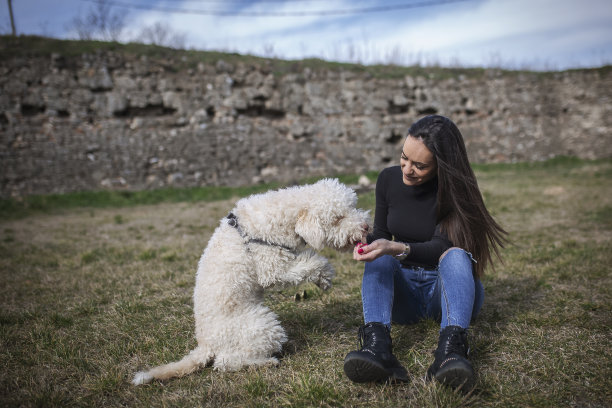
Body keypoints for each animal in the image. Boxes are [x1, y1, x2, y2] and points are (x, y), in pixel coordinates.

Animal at [133, 179, 368, 386]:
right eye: (338, 218)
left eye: (353, 207)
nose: (366, 226)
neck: (285, 214)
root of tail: (205, 344)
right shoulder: (271, 266)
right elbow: (310, 262)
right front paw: (325, 274)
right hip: (261, 324)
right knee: (225, 363)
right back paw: (265, 362)